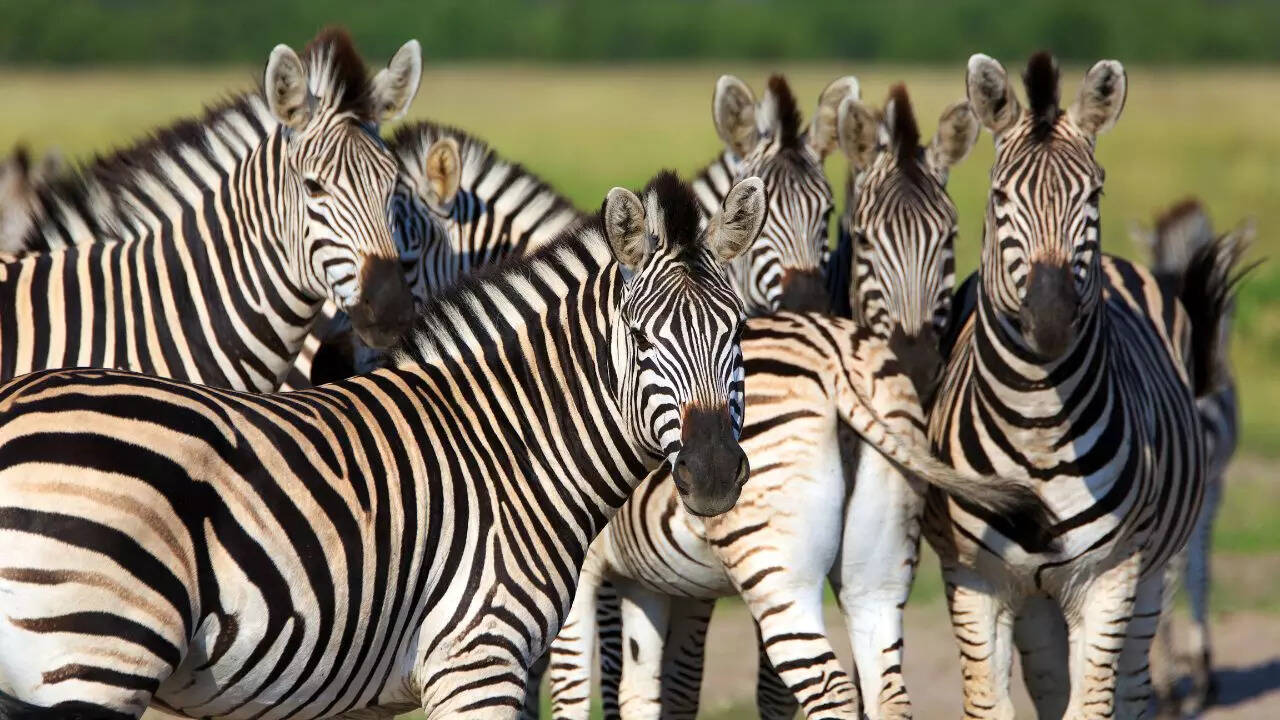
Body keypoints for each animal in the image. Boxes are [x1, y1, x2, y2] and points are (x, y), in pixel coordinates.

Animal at [0, 170, 765, 720]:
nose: (713, 473)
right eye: (640, 340)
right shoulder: (477, 659)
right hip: (99, 650)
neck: (512, 448)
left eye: (737, 331)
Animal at [923, 52, 1238, 719]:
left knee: (1134, 687)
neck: (1038, 426)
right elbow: (992, 705)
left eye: (1094, 193)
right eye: (999, 195)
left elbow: (1093, 703)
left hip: (1148, 572)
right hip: (1039, 600)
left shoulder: (1108, 578)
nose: (1050, 320)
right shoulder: (975, 578)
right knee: (1050, 685)